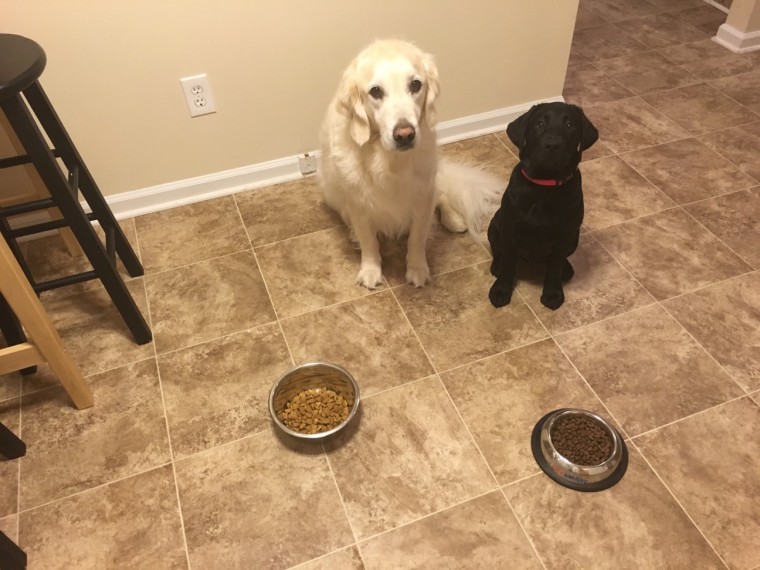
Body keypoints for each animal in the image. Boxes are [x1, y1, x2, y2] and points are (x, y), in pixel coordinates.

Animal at [318, 38, 502, 288]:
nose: (405, 134)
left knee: (442, 196)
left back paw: (454, 219)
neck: (390, 161)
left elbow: (417, 238)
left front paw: (417, 269)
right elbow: (368, 240)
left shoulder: (423, 195)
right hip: (330, 191)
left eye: (415, 85)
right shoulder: (358, 203)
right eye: (375, 91)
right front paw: (371, 270)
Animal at [486, 100, 600, 308]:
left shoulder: (565, 235)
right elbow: (508, 263)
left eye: (570, 124)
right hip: (495, 225)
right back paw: (497, 266)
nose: (552, 145)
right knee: (501, 253)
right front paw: (501, 290)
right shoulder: (511, 229)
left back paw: (566, 269)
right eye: (539, 123)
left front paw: (553, 294)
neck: (545, 187)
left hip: (575, 238)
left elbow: (554, 266)